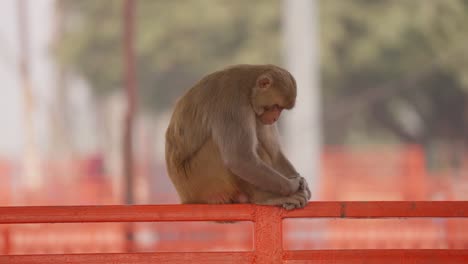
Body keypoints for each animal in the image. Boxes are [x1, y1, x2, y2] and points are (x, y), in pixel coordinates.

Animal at [165, 64, 310, 210]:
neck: (248, 89)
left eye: (280, 109)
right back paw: (265, 197)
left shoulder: (257, 114)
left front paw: (303, 183)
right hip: (199, 182)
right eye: (275, 106)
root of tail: (184, 197)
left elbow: (274, 153)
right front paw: (293, 185)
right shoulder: (233, 105)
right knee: (220, 148)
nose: (275, 118)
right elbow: (239, 159)